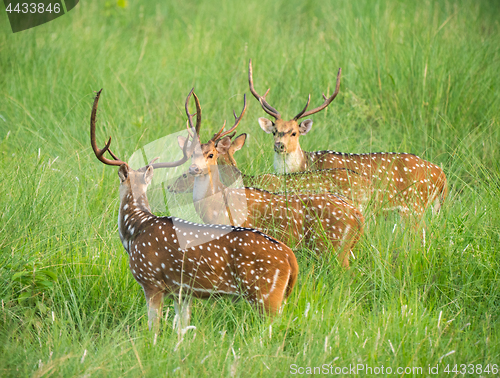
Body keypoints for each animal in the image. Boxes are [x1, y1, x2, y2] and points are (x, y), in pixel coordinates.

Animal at [89, 90, 296, 332]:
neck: (135, 231)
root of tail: (290, 257)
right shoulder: (182, 293)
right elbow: (182, 328)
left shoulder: (151, 281)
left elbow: (153, 328)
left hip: (266, 295)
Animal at [178, 88, 366, 268]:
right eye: (191, 153)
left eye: (211, 154)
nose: (193, 169)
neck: (215, 208)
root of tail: (357, 215)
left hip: (333, 247)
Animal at [250, 60, 450, 217]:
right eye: (275, 130)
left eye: (294, 132)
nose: (279, 145)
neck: (305, 164)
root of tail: (442, 175)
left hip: (416, 204)